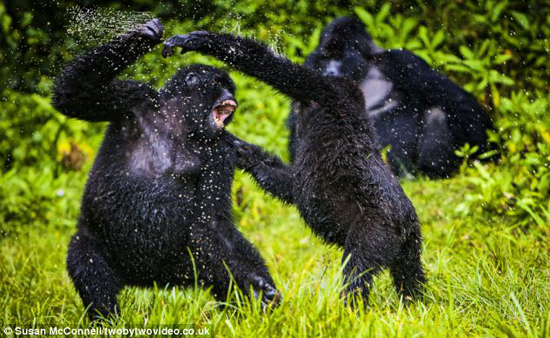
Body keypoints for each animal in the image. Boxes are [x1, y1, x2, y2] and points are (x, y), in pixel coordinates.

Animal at [52, 18, 280, 320]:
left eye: (229, 86)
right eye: (219, 83)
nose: (231, 95)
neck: (178, 121)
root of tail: (146, 280)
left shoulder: (220, 150)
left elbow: (213, 222)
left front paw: (257, 284)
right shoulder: (135, 98)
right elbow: (73, 96)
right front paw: (143, 36)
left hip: (182, 266)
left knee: (214, 264)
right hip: (102, 248)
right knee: (88, 263)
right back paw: (108, 321)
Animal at [166, 31, 430, 304]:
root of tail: (406, 219)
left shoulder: (323, 91)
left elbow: (273, 68)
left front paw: (198, 41)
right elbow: (287, 182)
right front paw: (237, 147)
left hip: (379, 227)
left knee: (358, 270)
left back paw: (350, 307)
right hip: (410, 241)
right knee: (410, 275)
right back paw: (415, 301)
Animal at [288, 16, 496, 177]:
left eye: (339, 57)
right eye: (326, 58)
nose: (329, 72)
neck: (363, 66)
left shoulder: (402, 61)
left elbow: (462, 105)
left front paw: (486, 154)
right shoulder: (311, 63)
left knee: (437, 113)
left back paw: (432, 173)